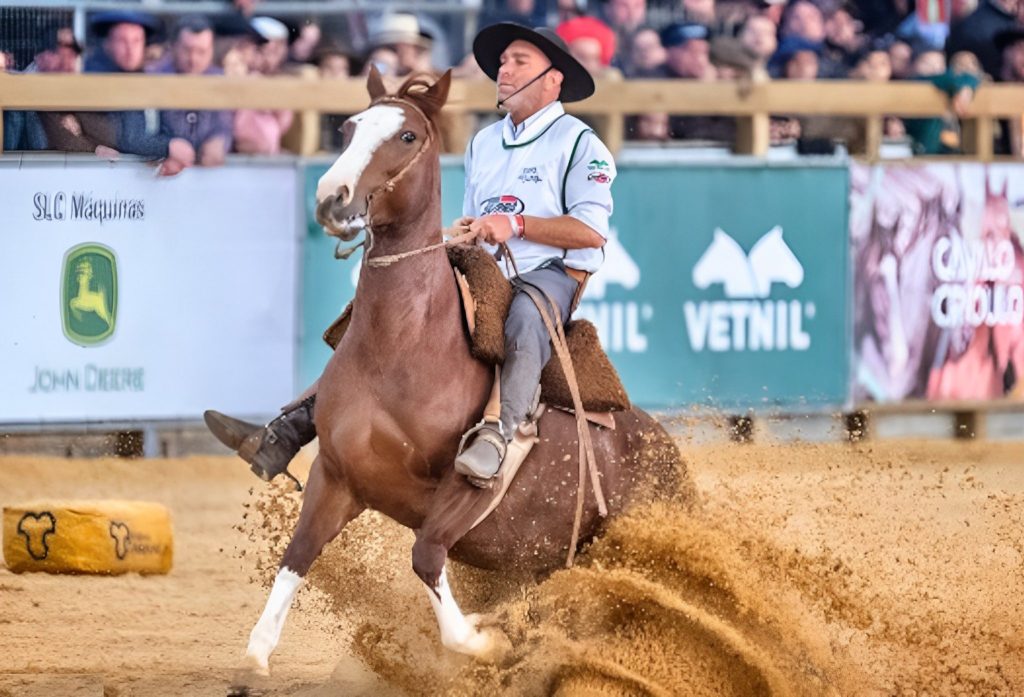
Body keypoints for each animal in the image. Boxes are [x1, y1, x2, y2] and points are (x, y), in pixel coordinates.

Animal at [239, 69, 684, 679]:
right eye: (349, 128)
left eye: (406, 136)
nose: (333, 197)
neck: (403, 349)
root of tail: (667, 451)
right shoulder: (337, 475)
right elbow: (297, 556)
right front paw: (257, 656)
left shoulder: (473, 489)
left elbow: (427, 558)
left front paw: (489, 641)